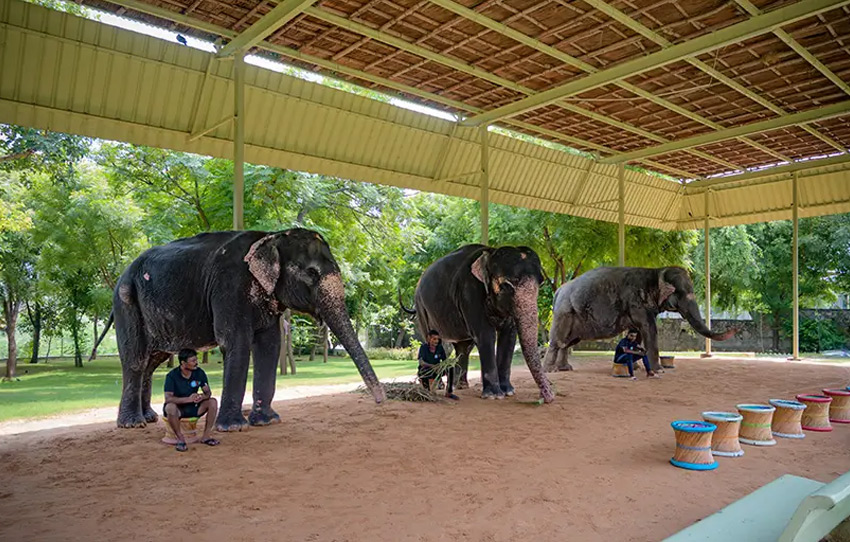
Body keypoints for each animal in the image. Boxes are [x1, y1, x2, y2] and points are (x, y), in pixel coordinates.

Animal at [109, 228, 385, 430]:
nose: (382, 400)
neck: (272, 236)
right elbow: (236, 342)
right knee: (136, 359)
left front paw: (267, 421)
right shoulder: (230, 285)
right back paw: (133, 424)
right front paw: (233, 428)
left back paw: (150, 418)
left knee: (152, 360)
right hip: (126, 301)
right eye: (312, 272)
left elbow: (270, 346)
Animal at [402, 244, 555, 402]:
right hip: (421, 307)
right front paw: (494, 396)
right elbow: (485, 335)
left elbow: (509, 337)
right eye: (506, 285)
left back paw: (461, 386)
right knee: (434, 338)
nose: (547, 397)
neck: (491, 252)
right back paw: (438, 386)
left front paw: (508, 392)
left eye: (541, 282)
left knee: (464, 347)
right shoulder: (470, 293)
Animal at [543, 266, 735, 372]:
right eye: (682, 293)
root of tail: (558, 290)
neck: (656, 271)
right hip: (564, 312)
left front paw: (636, 367)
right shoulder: (636, 302)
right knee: (557, 340)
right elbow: (649, 328)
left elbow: (637, 331)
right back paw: (550, 370)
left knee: (568, 342)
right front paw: (658, 370)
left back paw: (565, 369)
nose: (734, 329)